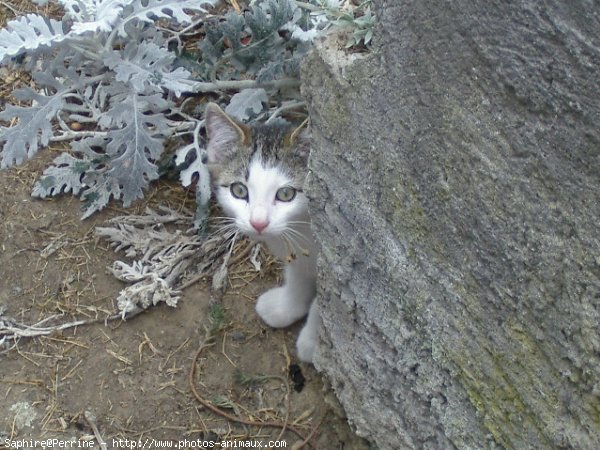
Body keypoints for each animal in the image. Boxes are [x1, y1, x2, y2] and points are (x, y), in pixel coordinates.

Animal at [205, 103, 322, 364]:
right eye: (239, 190)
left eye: (286, 194)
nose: (258, 223)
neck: (302, 228)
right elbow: (298, 273)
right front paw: (286, 306)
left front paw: (314, 341)